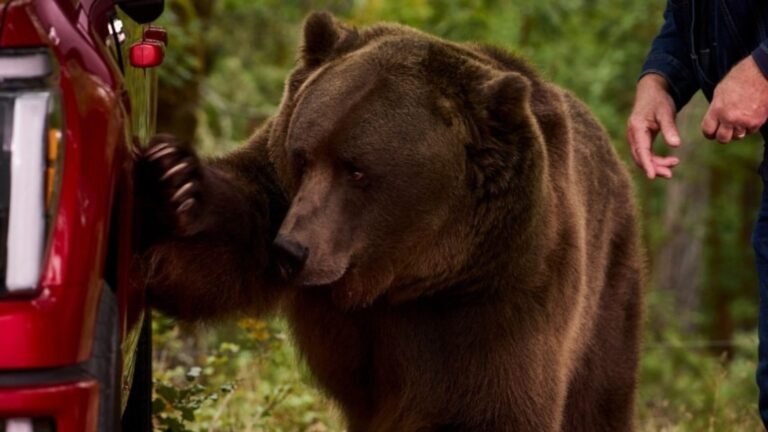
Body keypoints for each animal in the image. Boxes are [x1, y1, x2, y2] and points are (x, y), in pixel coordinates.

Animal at [136, 11, 644, 432]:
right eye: (303, 156)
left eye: (357, 170)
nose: (289, 251)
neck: (401, 277)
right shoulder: (281, 194)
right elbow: (220, 246)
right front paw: (177, 183)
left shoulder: (496, 295)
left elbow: (483, 407)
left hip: (607, 294)